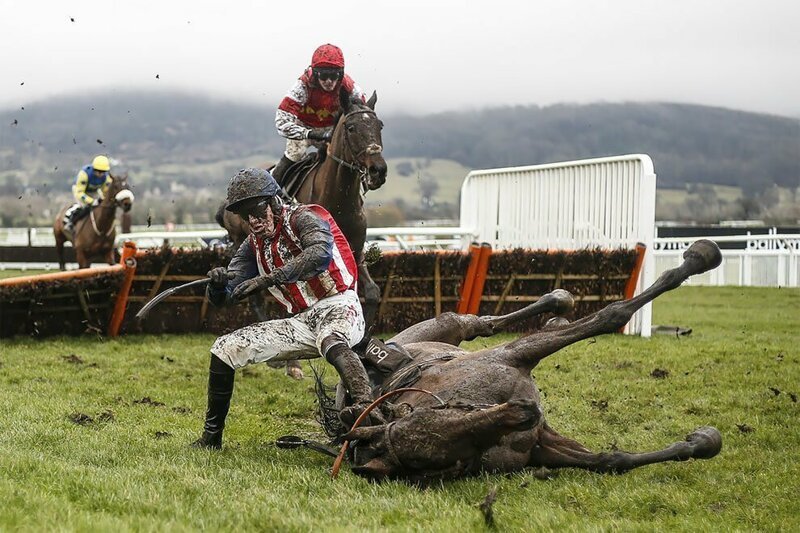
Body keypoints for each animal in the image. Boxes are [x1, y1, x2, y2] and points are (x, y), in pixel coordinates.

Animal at [316, 239, 728, 480]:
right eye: (449, 450)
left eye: (436, 421)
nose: (524, 411)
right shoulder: (541, 442)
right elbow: (612, 460)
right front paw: (704, 439)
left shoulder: (511, 354)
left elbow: (610, 315)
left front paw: (699, 257)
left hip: (444, 328)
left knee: (475, 322)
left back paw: (558, 304)